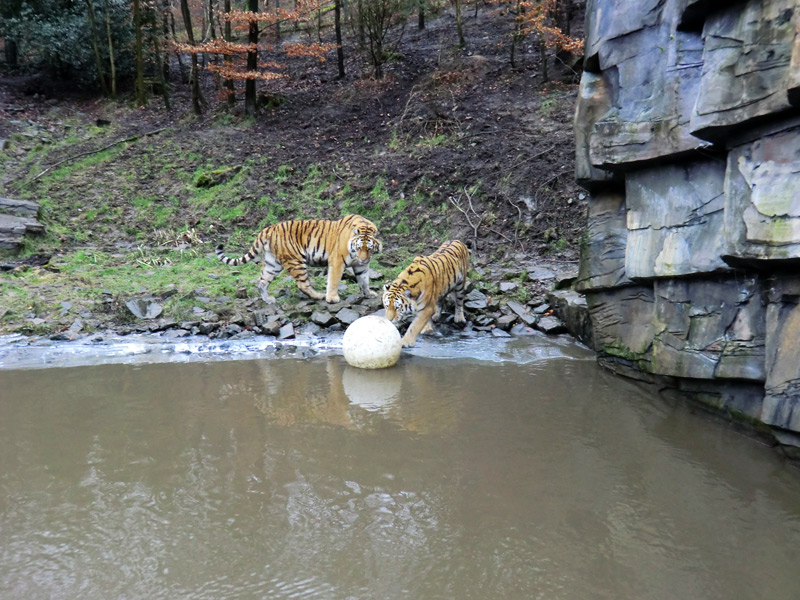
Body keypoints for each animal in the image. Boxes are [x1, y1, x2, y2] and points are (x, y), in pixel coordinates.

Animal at [217, 214, 382, 304]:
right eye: (359, 248)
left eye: (369, 248)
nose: (363, 259)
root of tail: (268, 228)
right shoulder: (337, 261)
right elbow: (334, 281)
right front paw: (332, 298)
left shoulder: (362, 267)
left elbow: (364, 280)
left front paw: (368, 294)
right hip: (295, 261)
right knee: (303, 284)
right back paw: (319, 296)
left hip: (273, 264)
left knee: (262, 281)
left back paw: (268, 299)